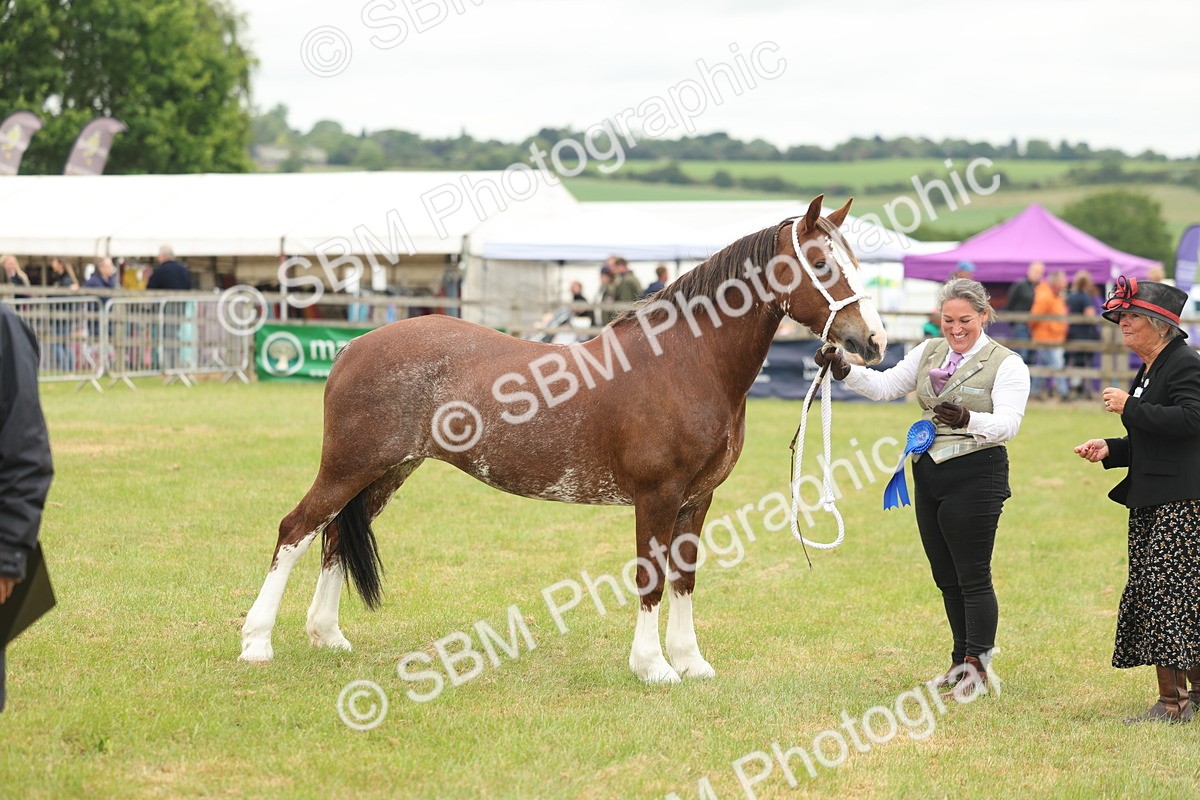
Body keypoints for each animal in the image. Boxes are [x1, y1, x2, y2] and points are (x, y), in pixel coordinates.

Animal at [239, 194, 887, 683]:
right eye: (822, 263)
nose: (874, 341)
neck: (685, 361)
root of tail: (353, 346)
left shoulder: (698, 498)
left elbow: (684, 577)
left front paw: (691, 662)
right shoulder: (657, 495)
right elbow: (650, 578)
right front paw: (653, 667)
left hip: (387, 470)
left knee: (332, 537)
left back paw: (327, 636)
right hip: (349, 465)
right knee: (296, 530)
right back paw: (257, 642)